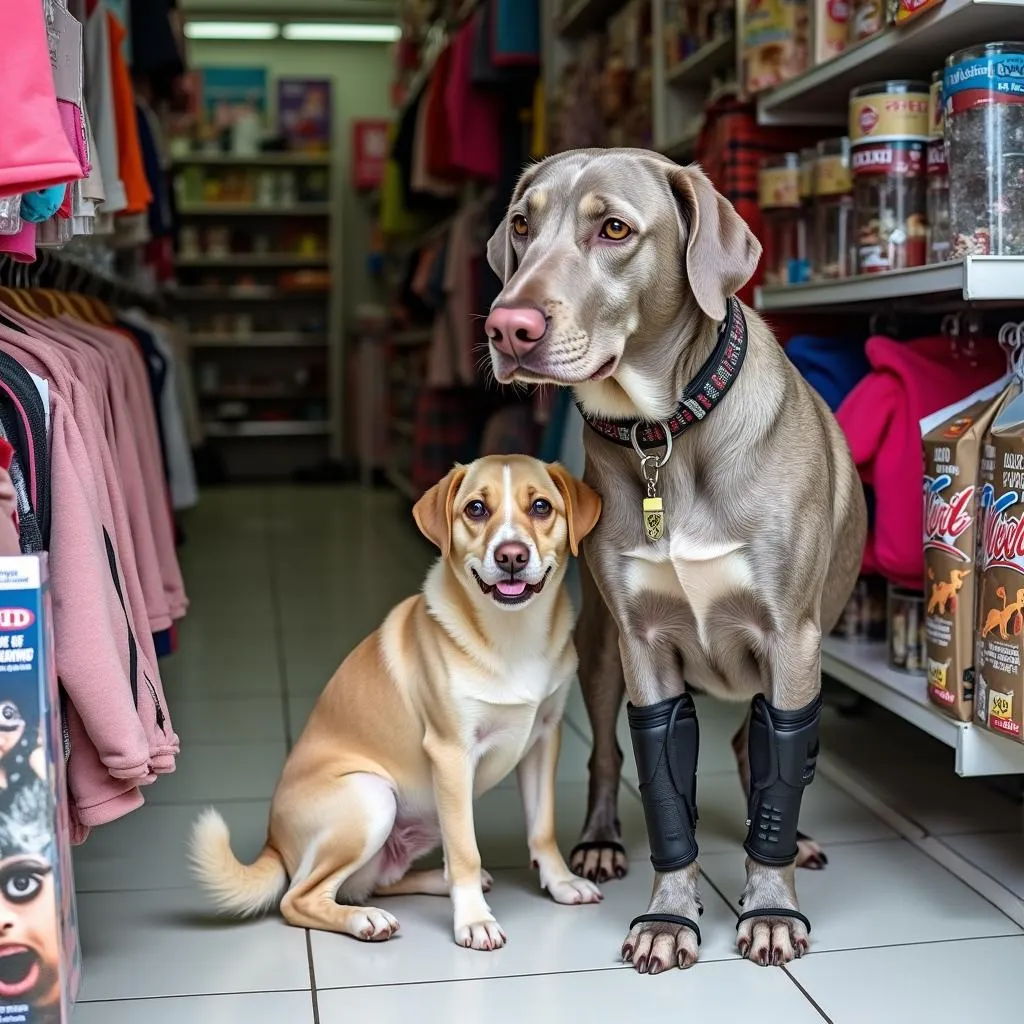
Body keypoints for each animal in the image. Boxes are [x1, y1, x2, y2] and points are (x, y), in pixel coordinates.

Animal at [190, 456, 598, 950]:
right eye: (476, 509)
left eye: (541, 507)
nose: (512, 556)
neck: (510, 635)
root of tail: (272, 841)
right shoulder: (451, 754)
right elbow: (465, 847)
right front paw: (474, 920)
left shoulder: (543, 739)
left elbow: (542, 828)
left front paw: (560, 882)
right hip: (372, 797)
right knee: (298, 897)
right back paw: (365, 920)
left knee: (375, 880)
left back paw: (438, 882)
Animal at [483, 148, 868, 970]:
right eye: (522, 225)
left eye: (614, 229)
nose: (508, 326)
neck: (664, 434)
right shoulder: (643, 642)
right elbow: (664, 791)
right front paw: (668, 915)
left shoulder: (792, 637)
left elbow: (779, 774)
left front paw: (770, 904)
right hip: (600, 651)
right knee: (608, 755)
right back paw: (599, 839)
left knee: (760, 748)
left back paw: (793, 841)